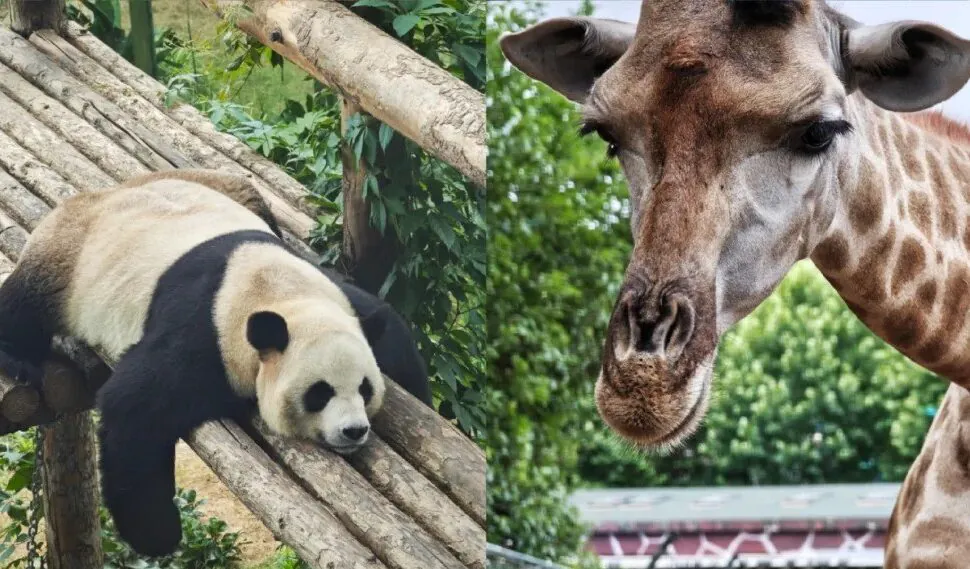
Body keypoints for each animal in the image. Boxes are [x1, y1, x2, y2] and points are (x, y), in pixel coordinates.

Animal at [0, 169, 432, 556]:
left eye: (364, 388)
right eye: (319, 393)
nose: (354, 430)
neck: (275, 291)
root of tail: (97, 194)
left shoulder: (339, 301)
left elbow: (390, 331)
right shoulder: (207, 333)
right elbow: (136, 403)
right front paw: (158, 535)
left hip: (218, 185)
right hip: (69, 256)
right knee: (26, 302)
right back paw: (18, 358)